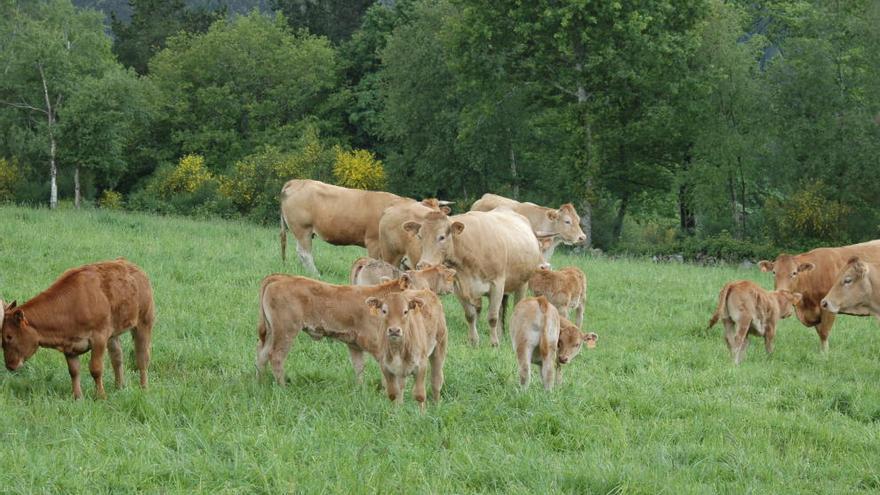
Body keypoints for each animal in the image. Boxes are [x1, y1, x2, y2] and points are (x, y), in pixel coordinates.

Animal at [0, 262, 154, 402]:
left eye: (9, 336)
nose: (10, 365)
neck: (72, 305)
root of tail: (133, 267)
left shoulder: (99, 337)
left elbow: (96, 369)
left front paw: (100, 396)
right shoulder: (69, 345)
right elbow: (74, 371)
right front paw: (77, 397)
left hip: (144, 322)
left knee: (142, 358)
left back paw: (144, 388)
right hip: (113, 334)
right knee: (117, 358)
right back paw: (119, 387)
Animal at [256, 274, 414, 386]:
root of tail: (280, 277)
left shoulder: (354, 345)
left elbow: (359, 367)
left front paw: (360, 389)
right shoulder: (375, 343)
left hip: (272, 332)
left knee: (262, 354)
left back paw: (261, 383)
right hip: (286, 331)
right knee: (276, 356)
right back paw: (282, 387)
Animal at [406, 210, 544, 348]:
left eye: (442, 237)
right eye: (420, 236)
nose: (423, 265)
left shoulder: (497, 284)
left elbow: (492, 317)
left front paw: (494, 343)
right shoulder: (459, 287)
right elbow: (470, 315)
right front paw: (474, 341)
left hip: (523, 284)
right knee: (501, 310)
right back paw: (500, 334)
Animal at [752, 241, 880, 352]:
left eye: (794, 273)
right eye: (774, 272)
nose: (781, 292)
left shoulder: (828, 307)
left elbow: (824, 333)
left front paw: (825, 353)